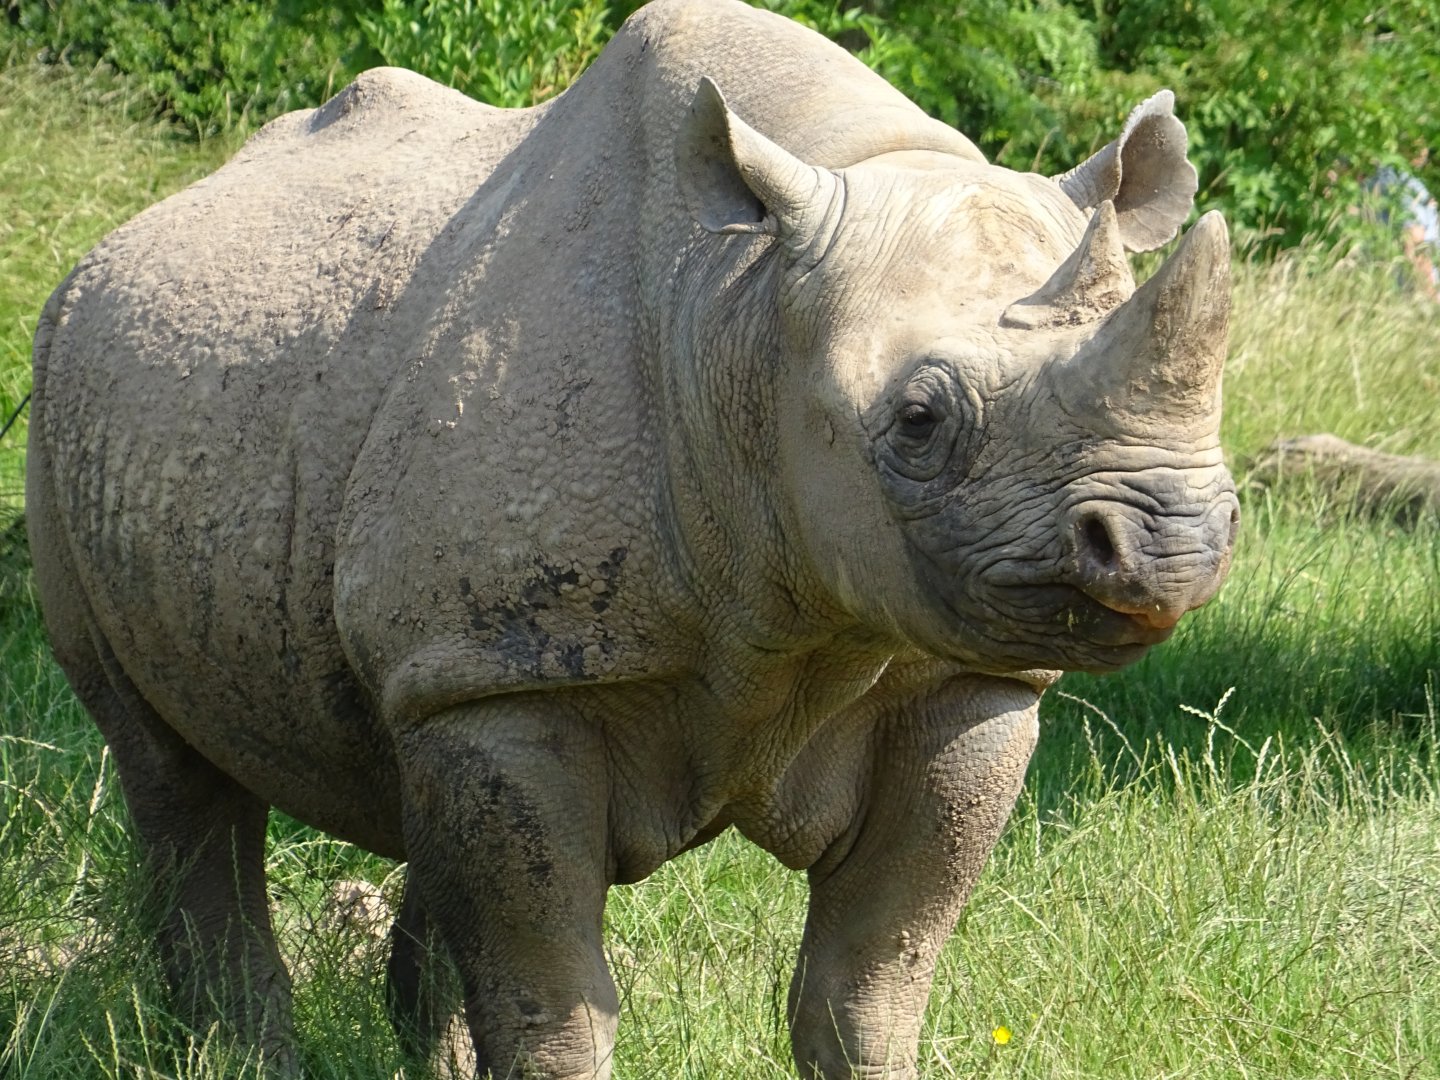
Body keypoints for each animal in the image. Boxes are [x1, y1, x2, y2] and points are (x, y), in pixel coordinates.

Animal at [26, 0, 1238, 1076]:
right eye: (918, 421)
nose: (1170, 542)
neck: (746, 307)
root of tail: (115, 241)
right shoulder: (514, 673)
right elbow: (554, 1000)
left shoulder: (963, 681)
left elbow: (870, 981)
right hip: (61, 402)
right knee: (174, 777)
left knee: (415, 783)